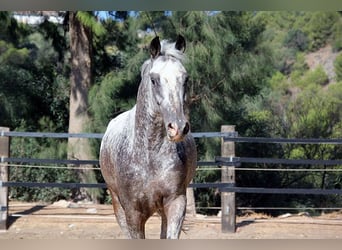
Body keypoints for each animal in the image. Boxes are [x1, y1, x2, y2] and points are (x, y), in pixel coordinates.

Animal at [99, 35, 196, 238]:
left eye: (185, 79)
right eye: (154, 79)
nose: (178, 127)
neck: (150, 155)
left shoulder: (176, 203)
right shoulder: (133, 213)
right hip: (117, 205)